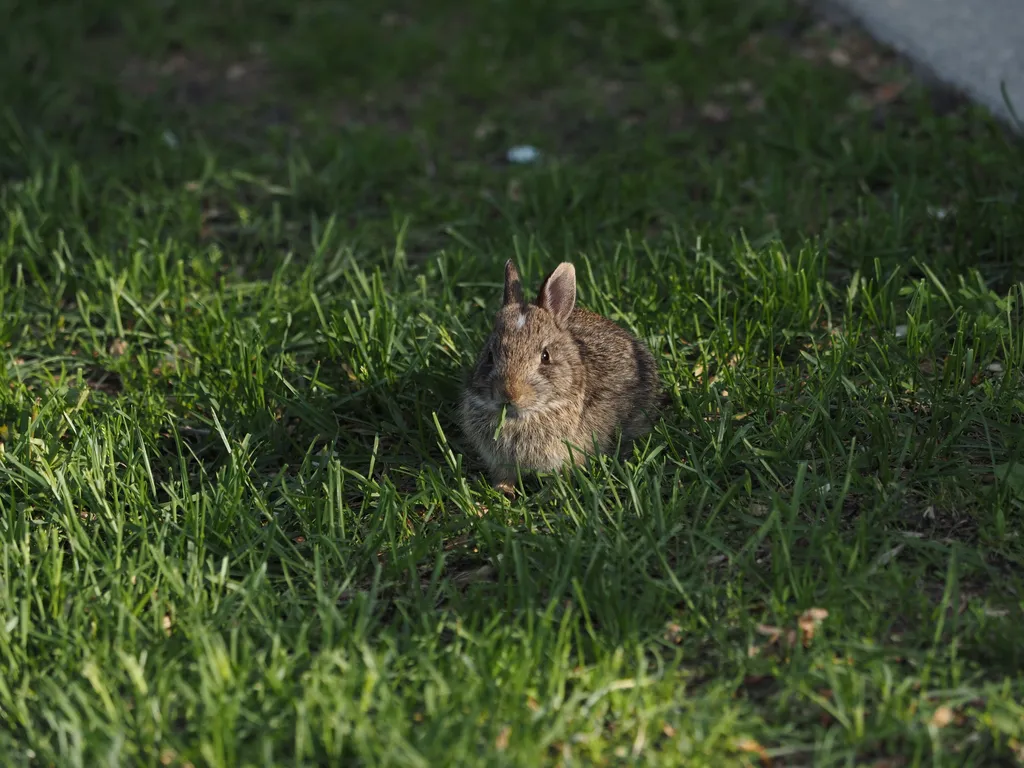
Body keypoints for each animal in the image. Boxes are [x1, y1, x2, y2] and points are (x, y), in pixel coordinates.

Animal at [459, 259, 662, 495]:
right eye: (490, 356)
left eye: (545, 356)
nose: (509, 394)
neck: (525, 415)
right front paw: (503, 491)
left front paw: (546, 495)